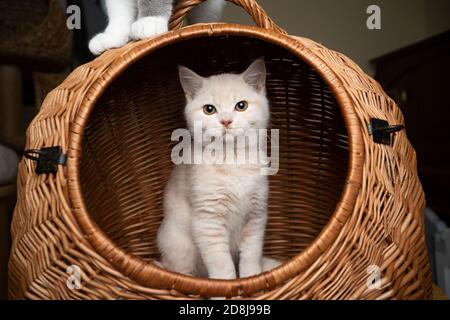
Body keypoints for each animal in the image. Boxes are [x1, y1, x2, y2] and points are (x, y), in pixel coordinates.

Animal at [156, 59, 280, 280]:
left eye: (241, 106)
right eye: (209, 109)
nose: (226, 121)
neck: (233, 159)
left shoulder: (256, 217)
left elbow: (251, 256)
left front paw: (252, 278)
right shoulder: (207, 222)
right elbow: (221, 264)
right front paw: (225, 284)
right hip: (177, 244)